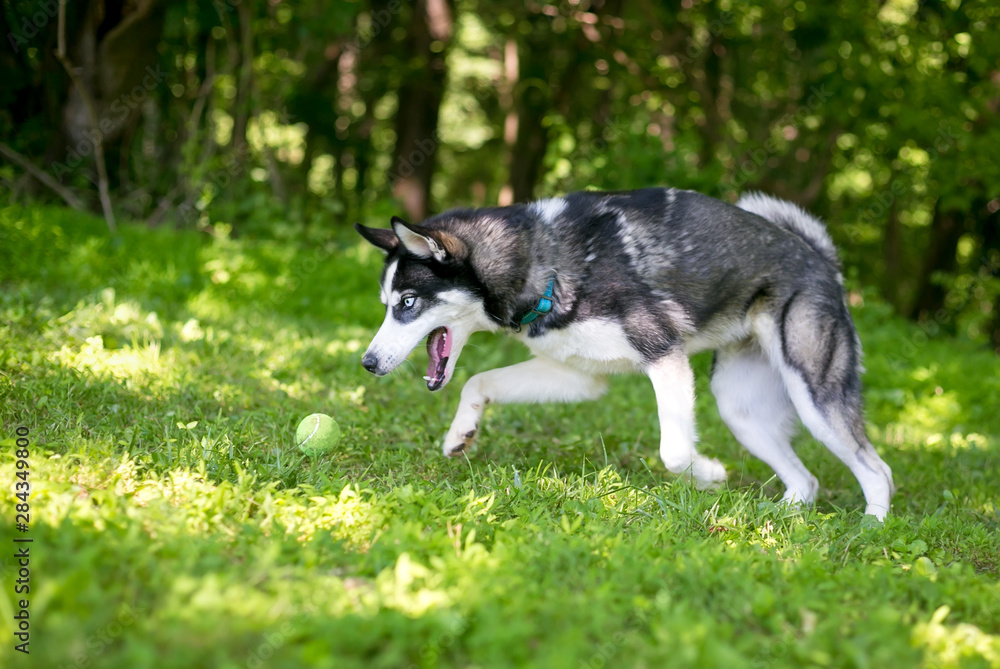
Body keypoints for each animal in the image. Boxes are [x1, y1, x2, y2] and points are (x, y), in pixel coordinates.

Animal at [356, 188, 896, 516]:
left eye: (408, 303)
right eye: (386, 303)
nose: (367, 363)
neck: (545, 260)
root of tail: (820, 258)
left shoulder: (664, 356)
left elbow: (674, 451)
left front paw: (710, 473)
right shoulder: (579, 375)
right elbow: (477, 380)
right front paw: (460, 433)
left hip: (814, 397)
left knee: (877, 468)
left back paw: (872, 528)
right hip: (739, 410)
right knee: (806, 482)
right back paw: (781, 521)